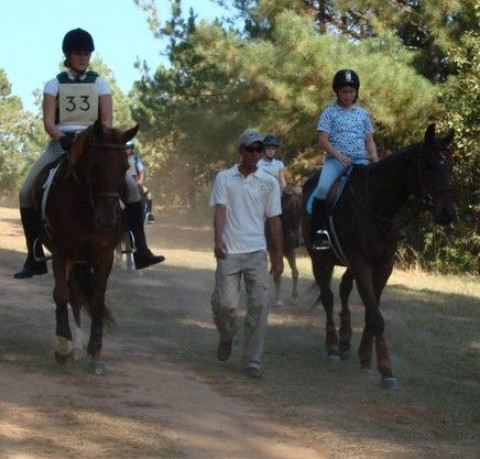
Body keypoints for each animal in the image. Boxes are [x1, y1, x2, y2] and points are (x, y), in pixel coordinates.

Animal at [37, 120, 137, 376]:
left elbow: (97, 302)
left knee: (78, 297)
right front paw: (63, 348)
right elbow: (61, 295)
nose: (108, 221)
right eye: (95, 165)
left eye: (124, 167)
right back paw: (71, 347)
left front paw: (95, 351)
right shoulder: (62, 252)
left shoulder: (104, 257)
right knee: (70, 295)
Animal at [302, 124, 456, 390]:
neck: (377, 203)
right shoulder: (363, 264)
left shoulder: (383, 265)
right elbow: (375, 316)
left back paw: (344, 342)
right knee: (328, 297)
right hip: (319, 259)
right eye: (428, 165)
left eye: (449, 164)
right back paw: (332, 346)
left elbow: (370, 311)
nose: (447, 213)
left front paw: (366, 358)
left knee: (343, 290)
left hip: (348, 263)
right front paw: (386, 370)